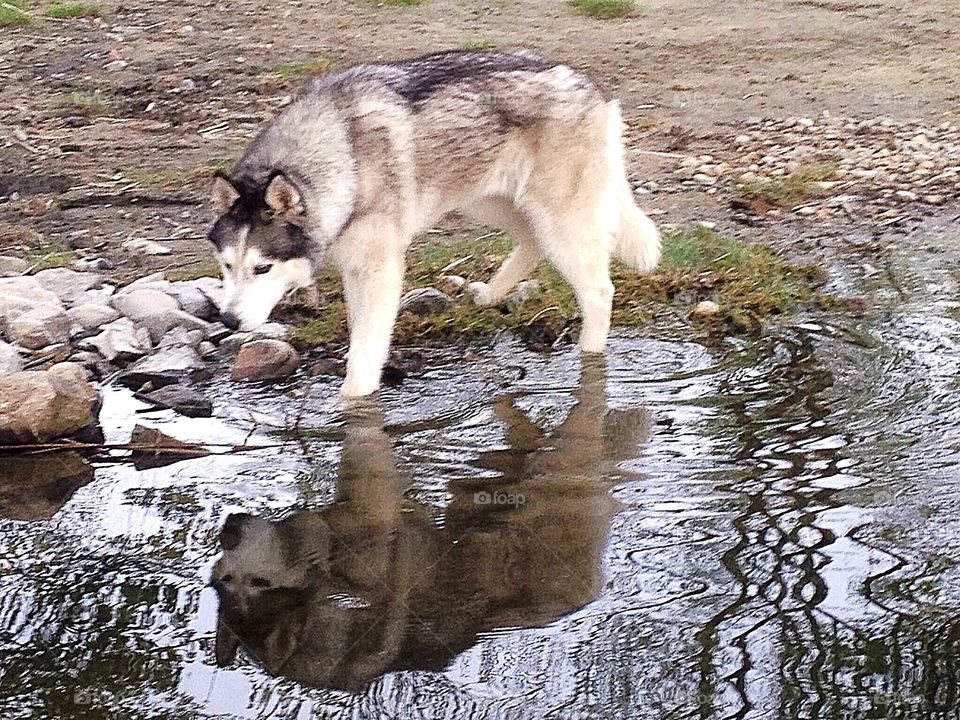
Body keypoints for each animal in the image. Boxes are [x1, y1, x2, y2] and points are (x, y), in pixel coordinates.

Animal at [209, 49, 660, 400]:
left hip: (557, 223)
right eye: (227, 266)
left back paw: (590, 355)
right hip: (489, 203)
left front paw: (352, 403)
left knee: (598, 292)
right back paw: (491, 294)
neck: (342, 156)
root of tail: (592, 88)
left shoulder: (378, 270)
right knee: (531, 243)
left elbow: (366, 351)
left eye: (262, 268)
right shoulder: (355, 266)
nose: (227, 321)